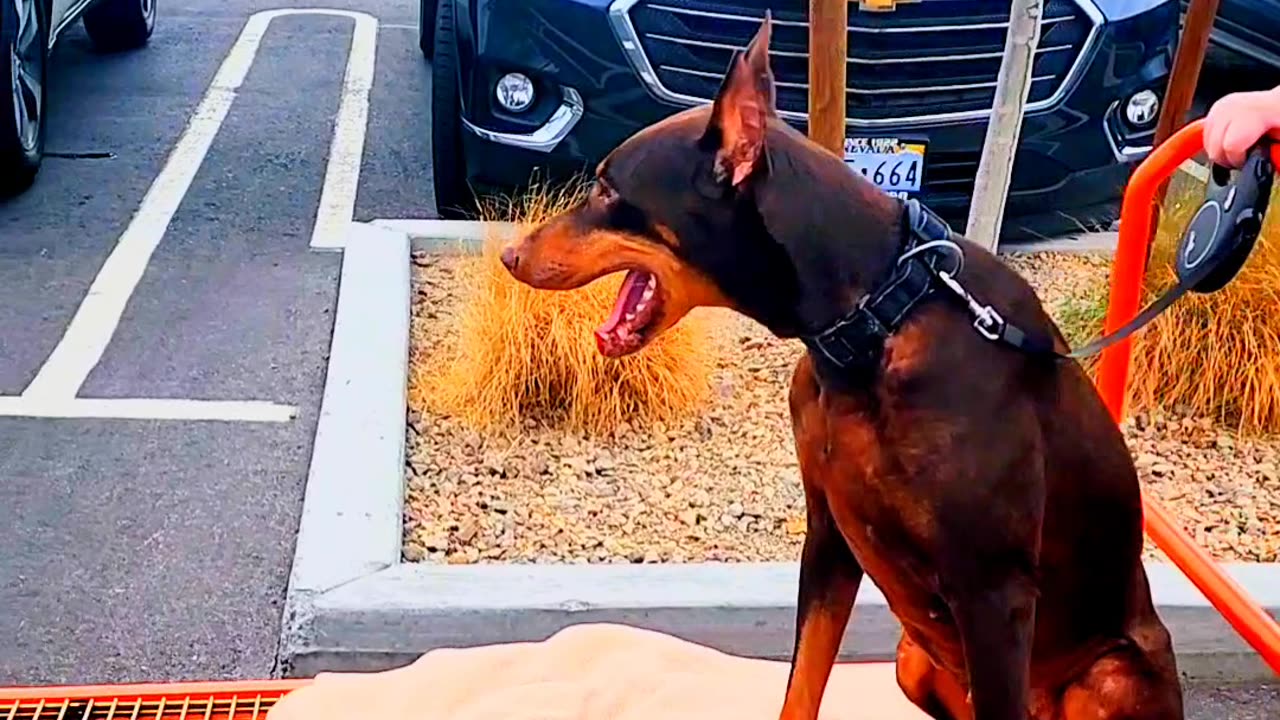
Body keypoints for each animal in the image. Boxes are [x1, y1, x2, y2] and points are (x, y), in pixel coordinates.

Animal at [499, 12, 1187, 717]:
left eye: (608, 189)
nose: (510, 255)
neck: (875, 321)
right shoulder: (828, 531)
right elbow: (802, 683)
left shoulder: (994, 590)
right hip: (913, 660)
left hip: (1106, 673)